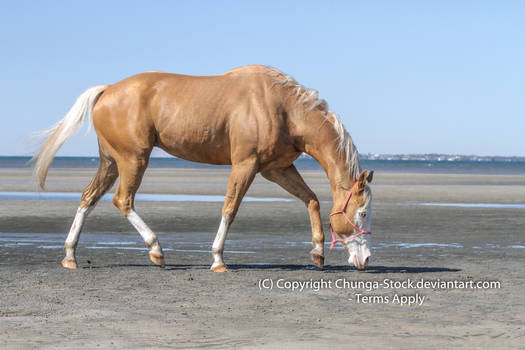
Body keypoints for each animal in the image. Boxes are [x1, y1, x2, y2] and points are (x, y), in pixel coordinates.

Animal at [33, 66, 372, 274]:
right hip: (133, 160)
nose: (367, 258)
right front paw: (218, 260)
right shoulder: (246, 165)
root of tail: (107, 90)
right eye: (363, 212)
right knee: (122, 200)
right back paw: (156, 251)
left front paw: (318, 253)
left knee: (88, 198)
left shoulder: (276, 169)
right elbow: (230, 209)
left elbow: (311, 199)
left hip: (111, 162)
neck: (283, 107)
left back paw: (70, 256)